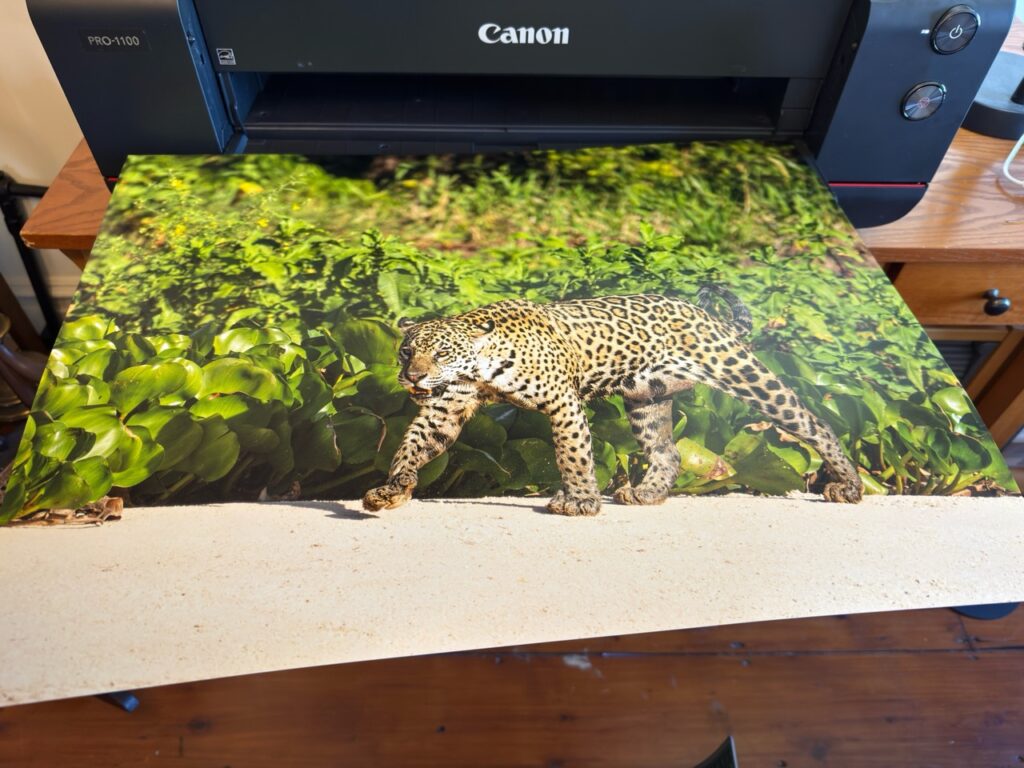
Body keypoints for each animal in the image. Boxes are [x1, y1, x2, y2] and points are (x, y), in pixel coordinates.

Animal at [362, 290, 863, 516]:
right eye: (406, 351)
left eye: (441, 354)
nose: (412, 376)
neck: (478, 369)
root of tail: (705, 314)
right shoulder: (446, 406)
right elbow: (413, 445)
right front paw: (392, 490)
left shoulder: (562, 402)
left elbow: (573, 454)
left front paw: (581, 500)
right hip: (647, 401)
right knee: (668, 452)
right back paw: (646, 493)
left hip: (744, 376)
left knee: (811, 422)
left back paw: (849, 486)